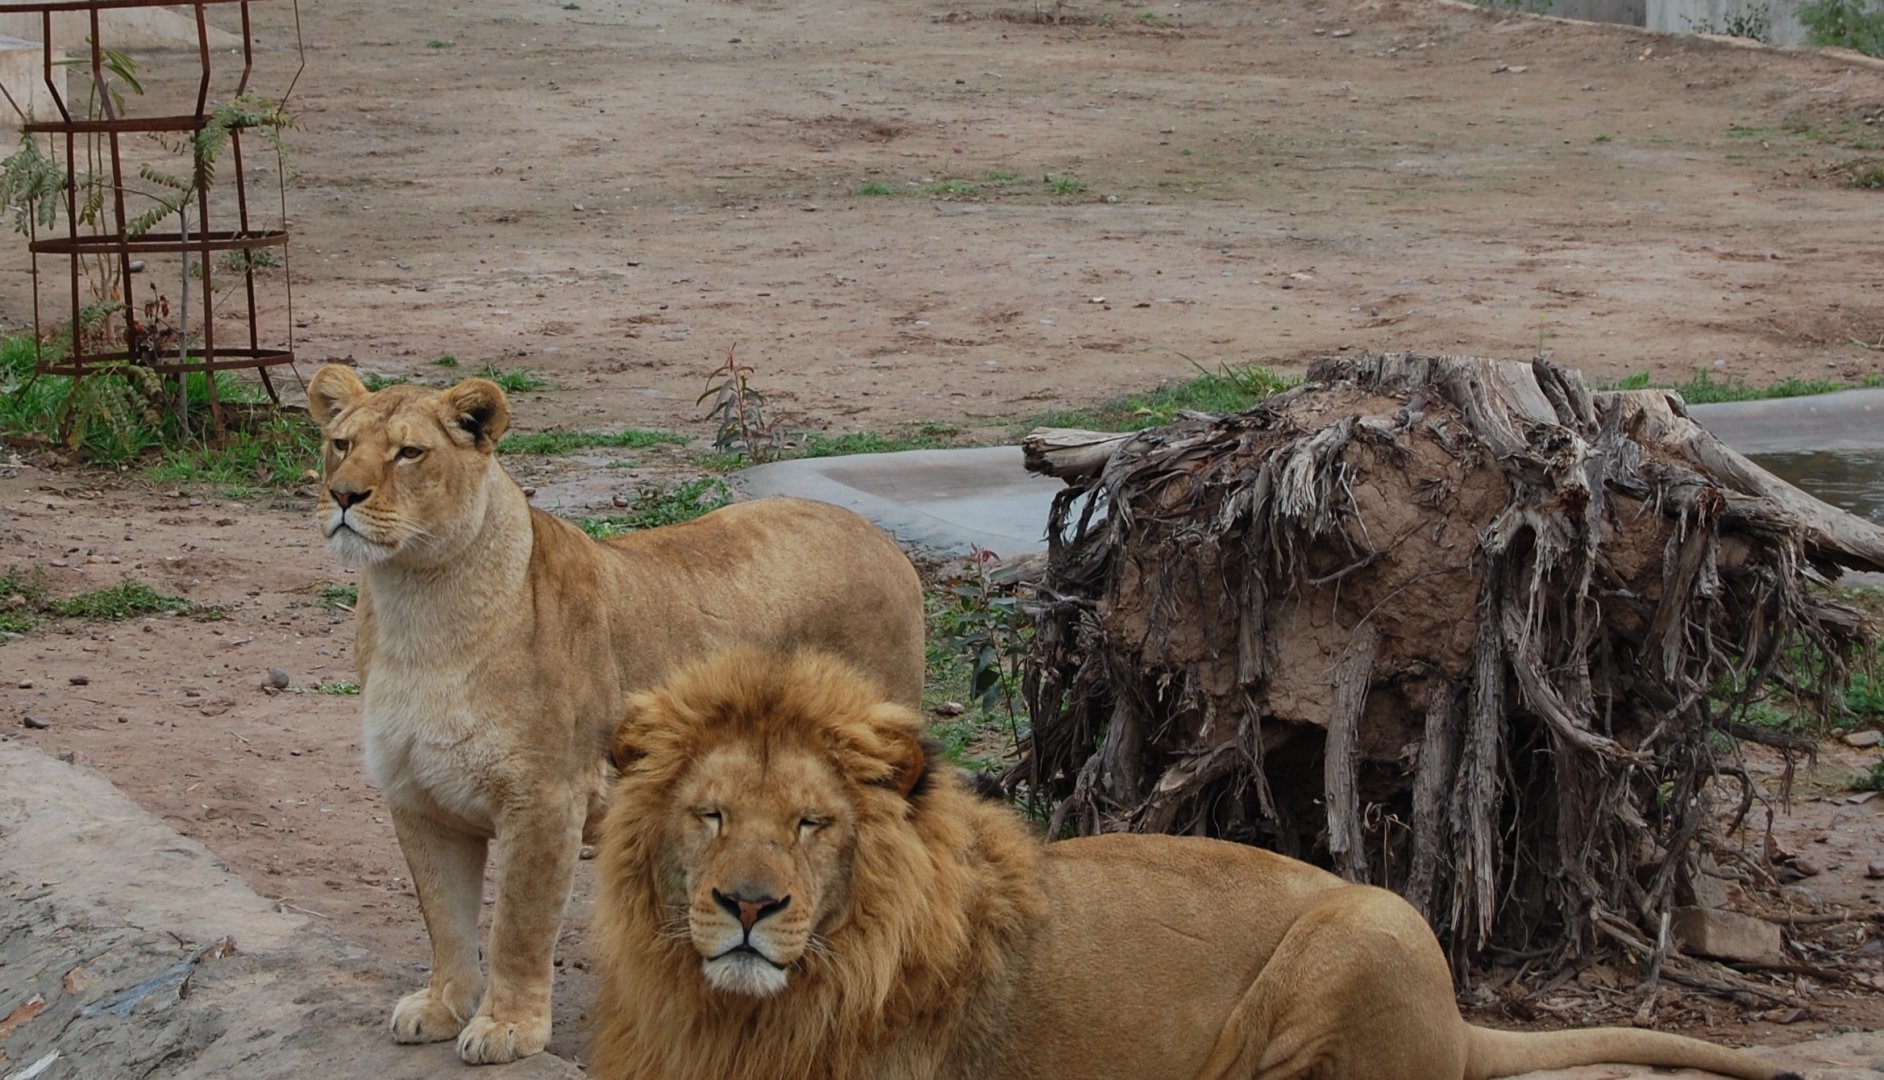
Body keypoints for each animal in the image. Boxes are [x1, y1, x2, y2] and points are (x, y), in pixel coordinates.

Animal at [304, 365, 926, 1065]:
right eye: (341, 444)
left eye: (409, 453)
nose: (343, 496)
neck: (416, 604)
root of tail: (883, 540)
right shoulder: (418, 798)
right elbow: (444, 915)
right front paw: (440, 1006)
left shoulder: (546, 799)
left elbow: (518, 925)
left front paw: (508, 1027)